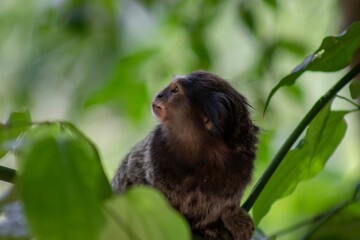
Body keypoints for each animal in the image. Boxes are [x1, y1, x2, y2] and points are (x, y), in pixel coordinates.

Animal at [112, 71, 258, 240]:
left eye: (175, 90)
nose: (159, 95)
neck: (205, 152)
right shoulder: (151, 151)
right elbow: (132, 177)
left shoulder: (242, 166)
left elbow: (228, 204)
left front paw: (233, 217)